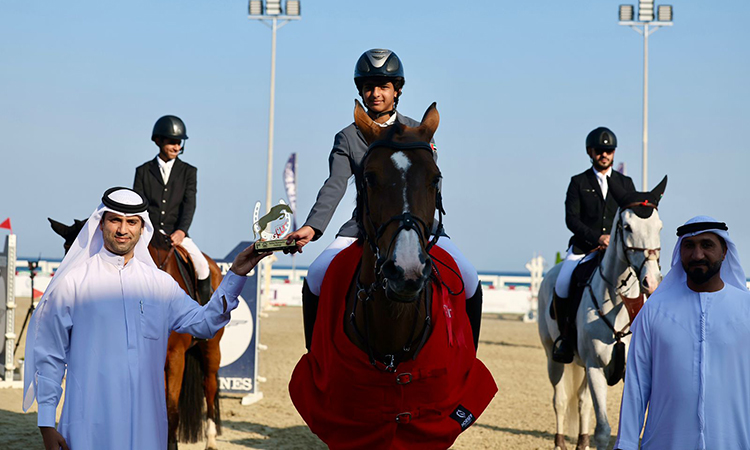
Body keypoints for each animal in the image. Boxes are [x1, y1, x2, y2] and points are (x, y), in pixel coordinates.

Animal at [540, 177, 668, 450]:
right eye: (627, 227)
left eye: (659, 227)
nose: (652, 281)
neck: (621, 303)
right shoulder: (596, 368)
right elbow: (603, 431)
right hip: (553, 357)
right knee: (560, 399)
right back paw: (559, 442)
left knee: (582, 402)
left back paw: (581, 442)